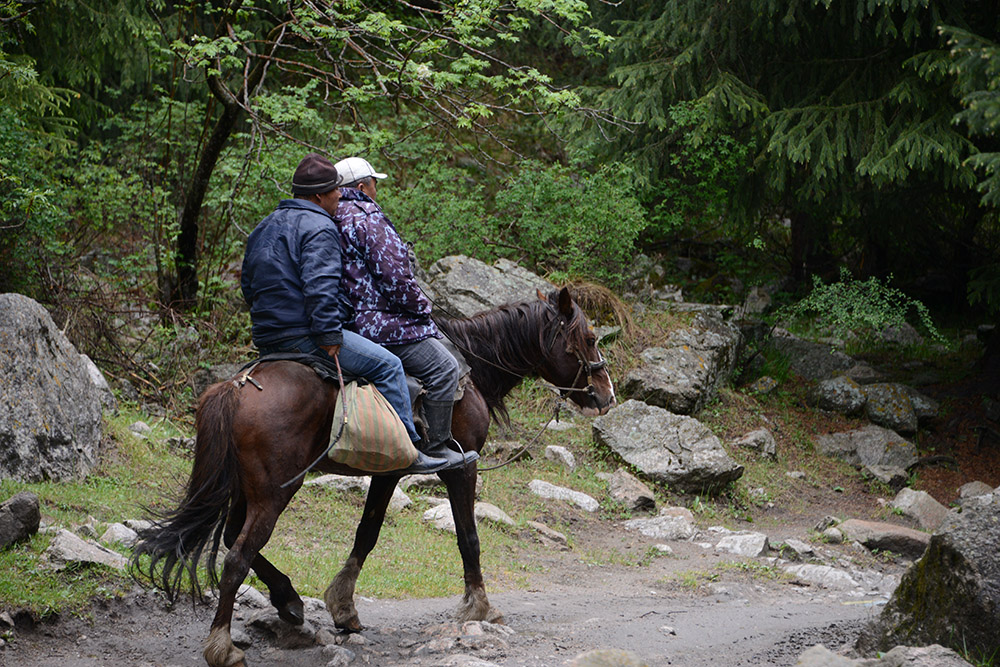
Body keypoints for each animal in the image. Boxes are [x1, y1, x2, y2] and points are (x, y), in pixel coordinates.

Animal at [132, 286, 616, 667]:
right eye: (590, 338)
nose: (606, 395)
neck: (471, 370)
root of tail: (237, 386)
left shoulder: (392, 472)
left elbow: (367, 533)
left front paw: (343, 607)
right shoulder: (461, 465)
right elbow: (469, 538)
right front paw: (480, 606)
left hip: (247, 490)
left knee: (234, 539)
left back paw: (288, 600)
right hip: (275, 492)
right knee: (237, 557)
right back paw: (223, 647)